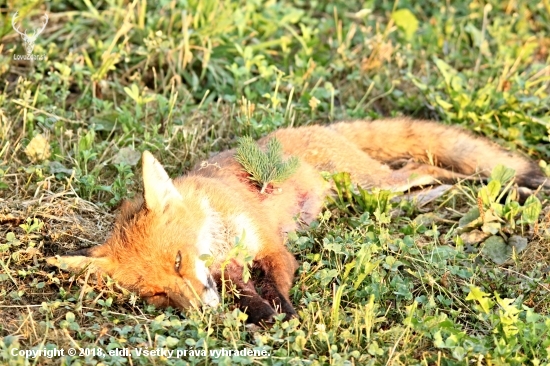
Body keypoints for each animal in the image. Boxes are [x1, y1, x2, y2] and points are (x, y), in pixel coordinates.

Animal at [47, 118, 548, 324]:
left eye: (176, 260)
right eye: (156, 294)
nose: (201, 314)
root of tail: (320, 128)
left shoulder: (272, 248)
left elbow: (277, 281)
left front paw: (285, 315)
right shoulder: (229, 273)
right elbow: (247, 295)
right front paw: (261, 316)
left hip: (375, 185)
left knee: (429, 167)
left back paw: (511, 193)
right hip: (376, 194)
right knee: (423, 180)